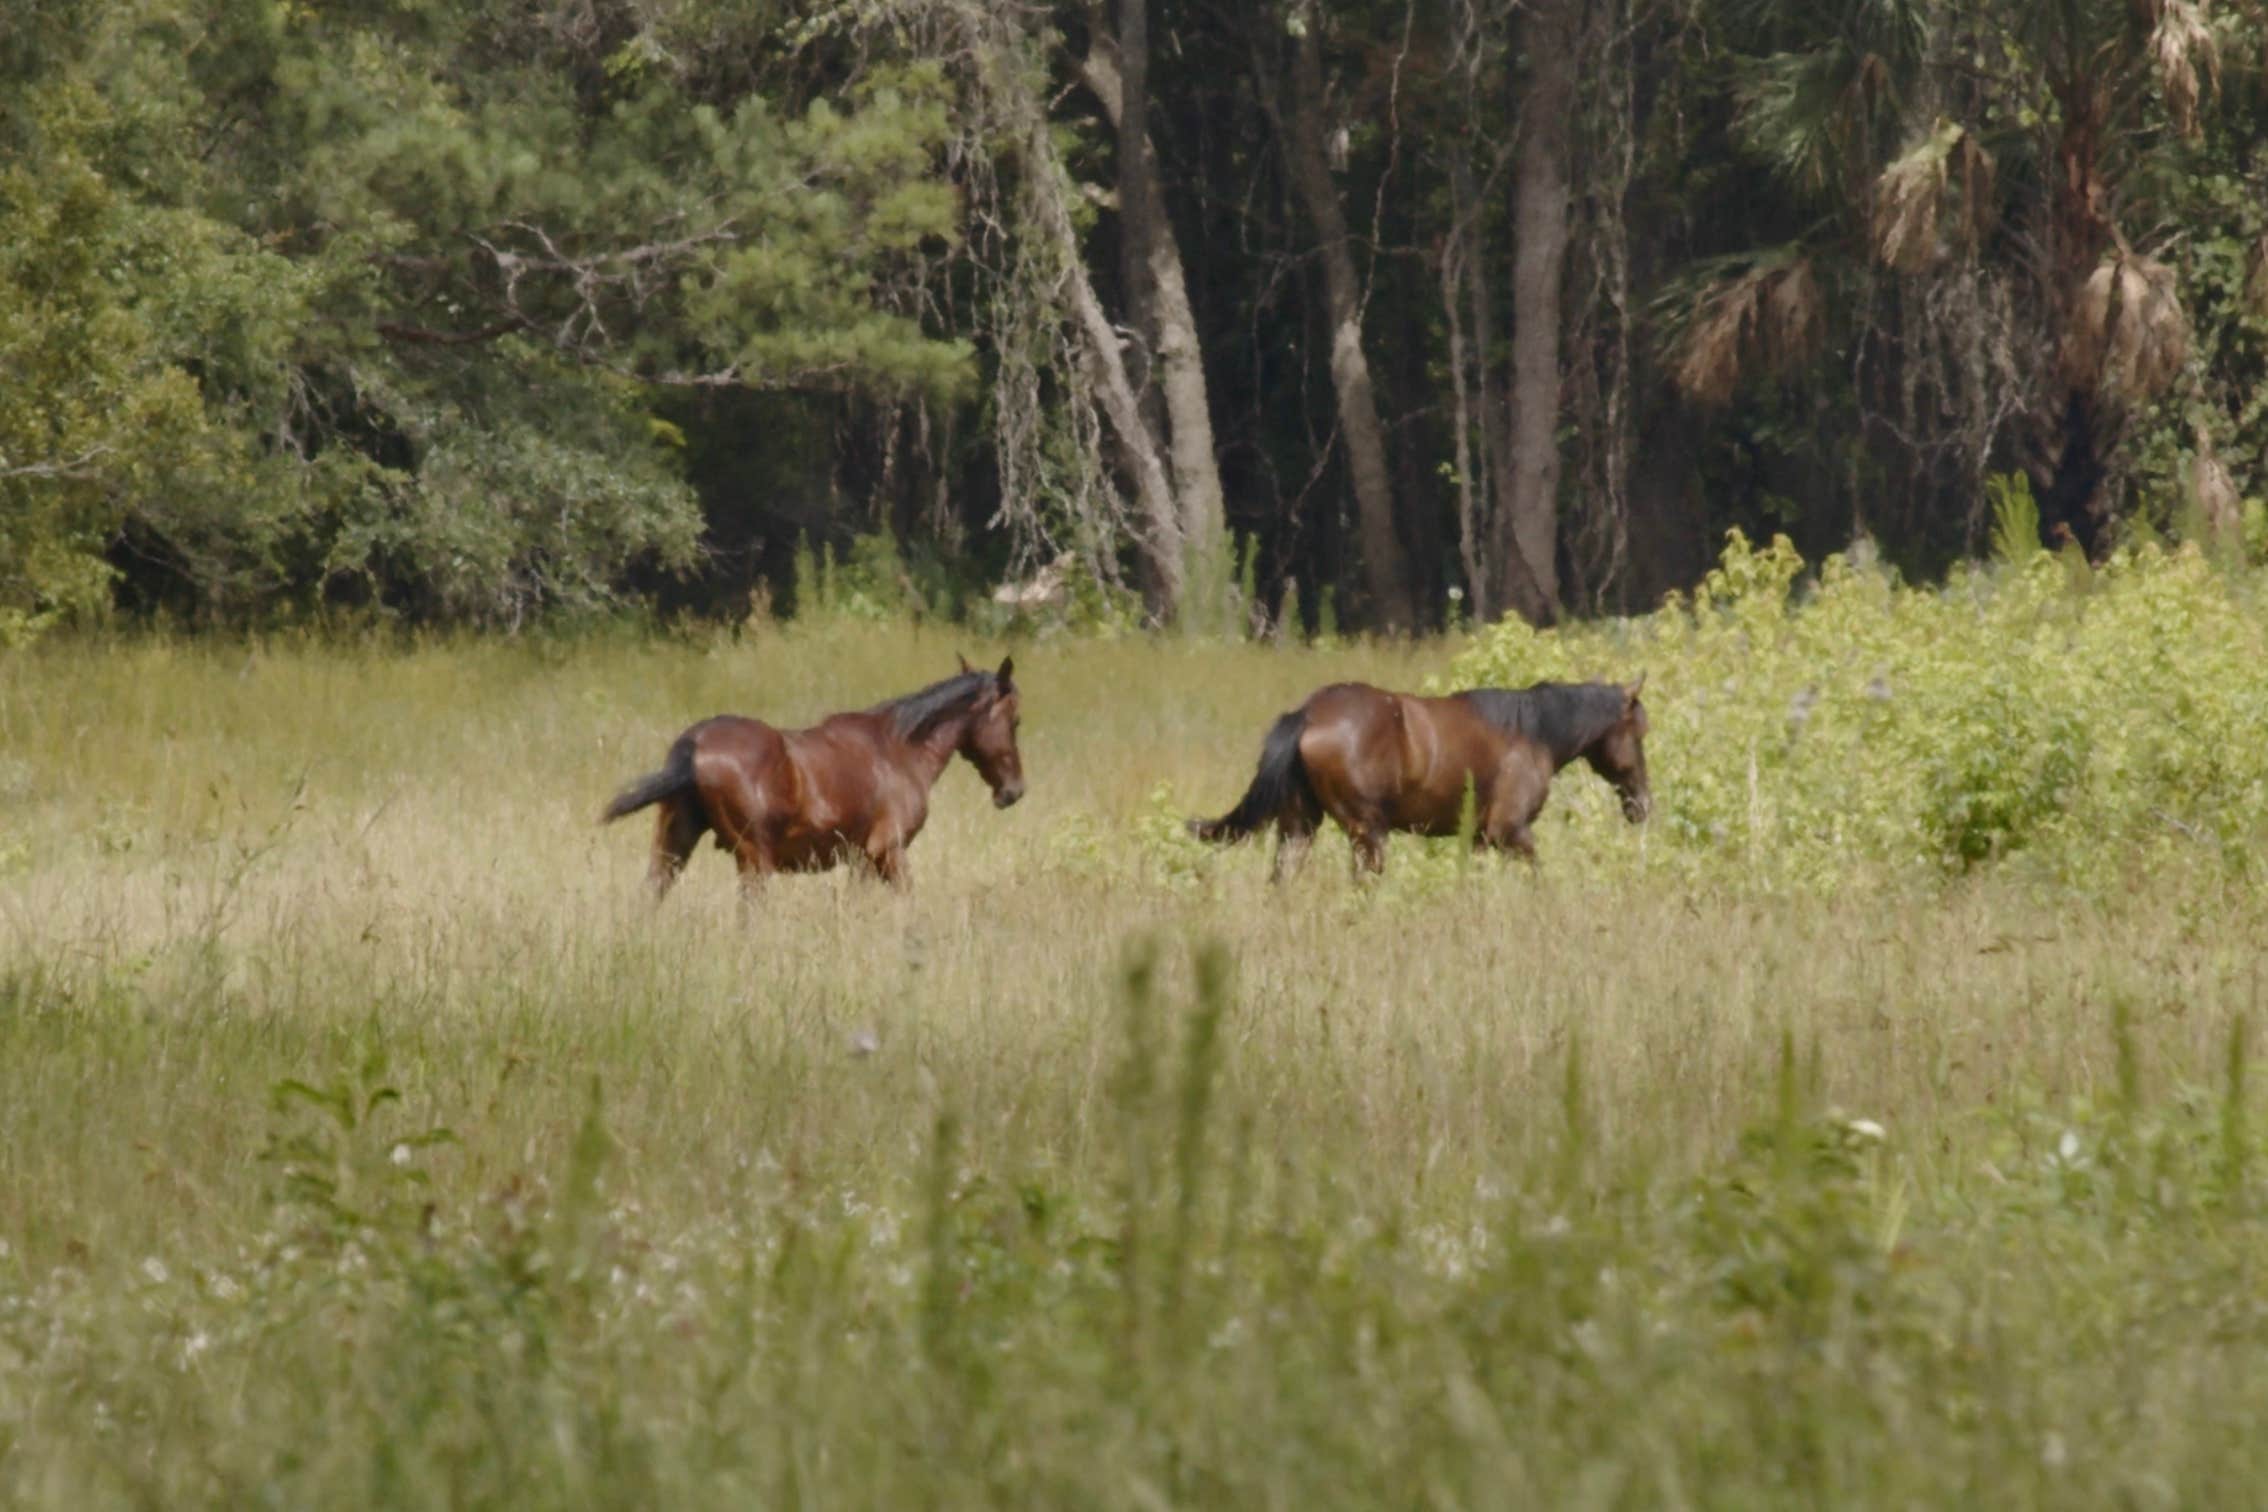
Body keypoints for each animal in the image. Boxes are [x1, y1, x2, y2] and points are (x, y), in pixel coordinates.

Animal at [602, 655, 1024, 895]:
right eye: (1015, 720)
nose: (1013, 790)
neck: (897, 748)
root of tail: (695, 743)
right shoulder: (888, 853)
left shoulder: (862, 861)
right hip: (754, 863)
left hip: (673, 849)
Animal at [1188, 677, 1649, 878]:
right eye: (1640, 732)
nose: (1643, 805)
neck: (1533, 734)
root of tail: (1309, 715)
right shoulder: (1510, 831)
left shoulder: (1479, 839)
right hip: (1368, 832)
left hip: (1299, 826)